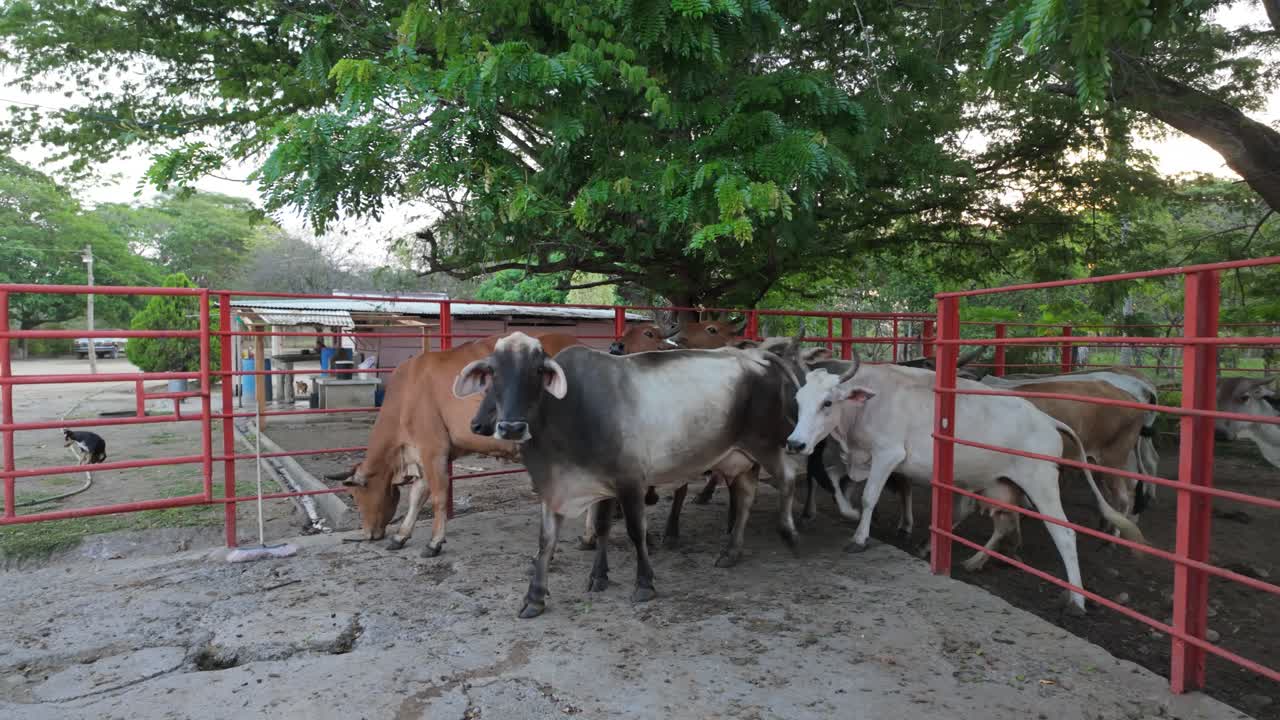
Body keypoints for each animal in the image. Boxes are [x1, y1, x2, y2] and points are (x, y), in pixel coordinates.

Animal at [326, 332, 580, 555]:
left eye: (353, 496)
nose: (368, 533)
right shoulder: (421, 455)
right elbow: (417, 495)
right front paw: (401, 536)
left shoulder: (433, 449)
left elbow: (438, 496)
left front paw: (434, 542)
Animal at [453, 332, 801, 618]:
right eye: (492, 373)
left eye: (538, 372)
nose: (510, 427)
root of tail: (757, 356)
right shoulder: (567, 487)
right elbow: (560, 538)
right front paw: (542, 595)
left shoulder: (630, 481)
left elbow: (635, 532)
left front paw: (644, 583)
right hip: (738, 457)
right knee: (745, 497)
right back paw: (731, 551)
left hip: (769, 443)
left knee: (787, 479)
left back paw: (789, 533)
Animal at [784, 360, 1145, 614]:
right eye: (798, 401)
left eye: (827, 403)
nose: (795, 444)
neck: (868, 403)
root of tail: (1046, 420)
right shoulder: (860, 460)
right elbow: (833, 479)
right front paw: (847, 511)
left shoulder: (889, 455)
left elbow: (870, 496)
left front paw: (859, 538)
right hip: (1001, 485)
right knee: (1003, 523)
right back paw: (973, 561)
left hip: (1041, 482)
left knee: (1065, 532)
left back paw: (1076, 600)